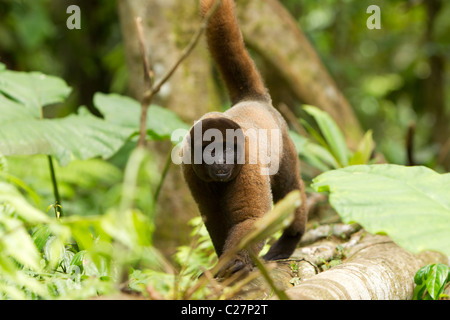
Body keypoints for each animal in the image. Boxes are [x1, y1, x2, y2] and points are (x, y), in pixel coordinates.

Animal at [181, 0, 308, 276]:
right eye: (211, 151)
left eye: (229, 149)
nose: (221, 162)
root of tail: (254, 99)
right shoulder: (189, 169)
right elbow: (213, 217)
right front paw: (220, 263)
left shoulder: (249, 162)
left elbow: (252, 219)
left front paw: (236, 261)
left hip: (285, 141)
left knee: (290, 187)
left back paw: (289, 241)